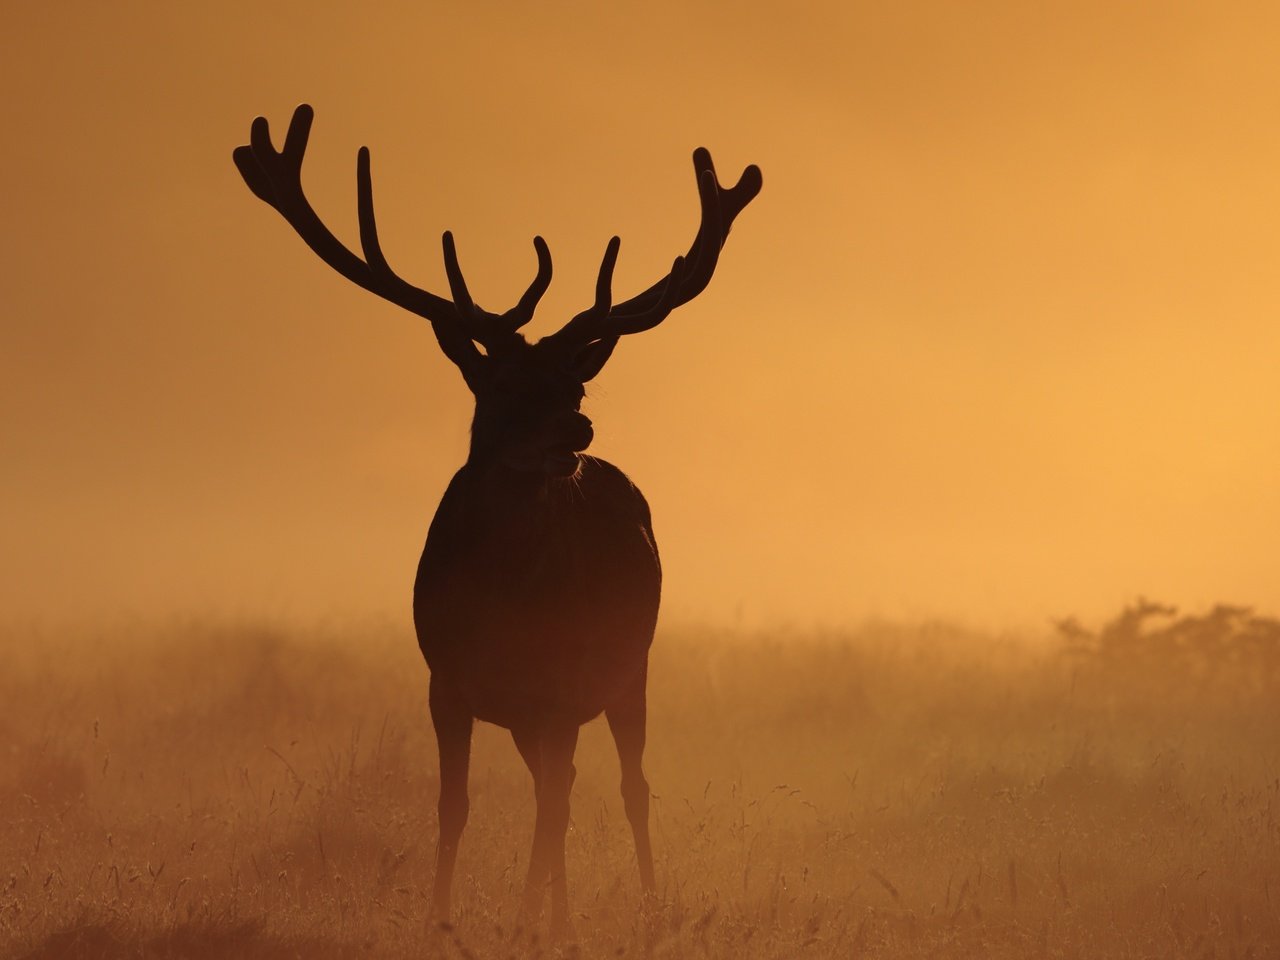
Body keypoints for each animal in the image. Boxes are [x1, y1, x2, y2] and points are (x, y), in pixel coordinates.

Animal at [232, 103, 757, 931]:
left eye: (575, 387)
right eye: (503, 383)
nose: (578, 432)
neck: (505, 599)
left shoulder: (560, 687)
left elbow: (558, 809)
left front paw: (525, 920)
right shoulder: (446, 683)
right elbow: (456, 805)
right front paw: (442, 918)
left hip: (627, 670)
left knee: (622, 788)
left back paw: (627, 906)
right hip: (533, 712)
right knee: (558, 788)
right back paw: (559, 914)